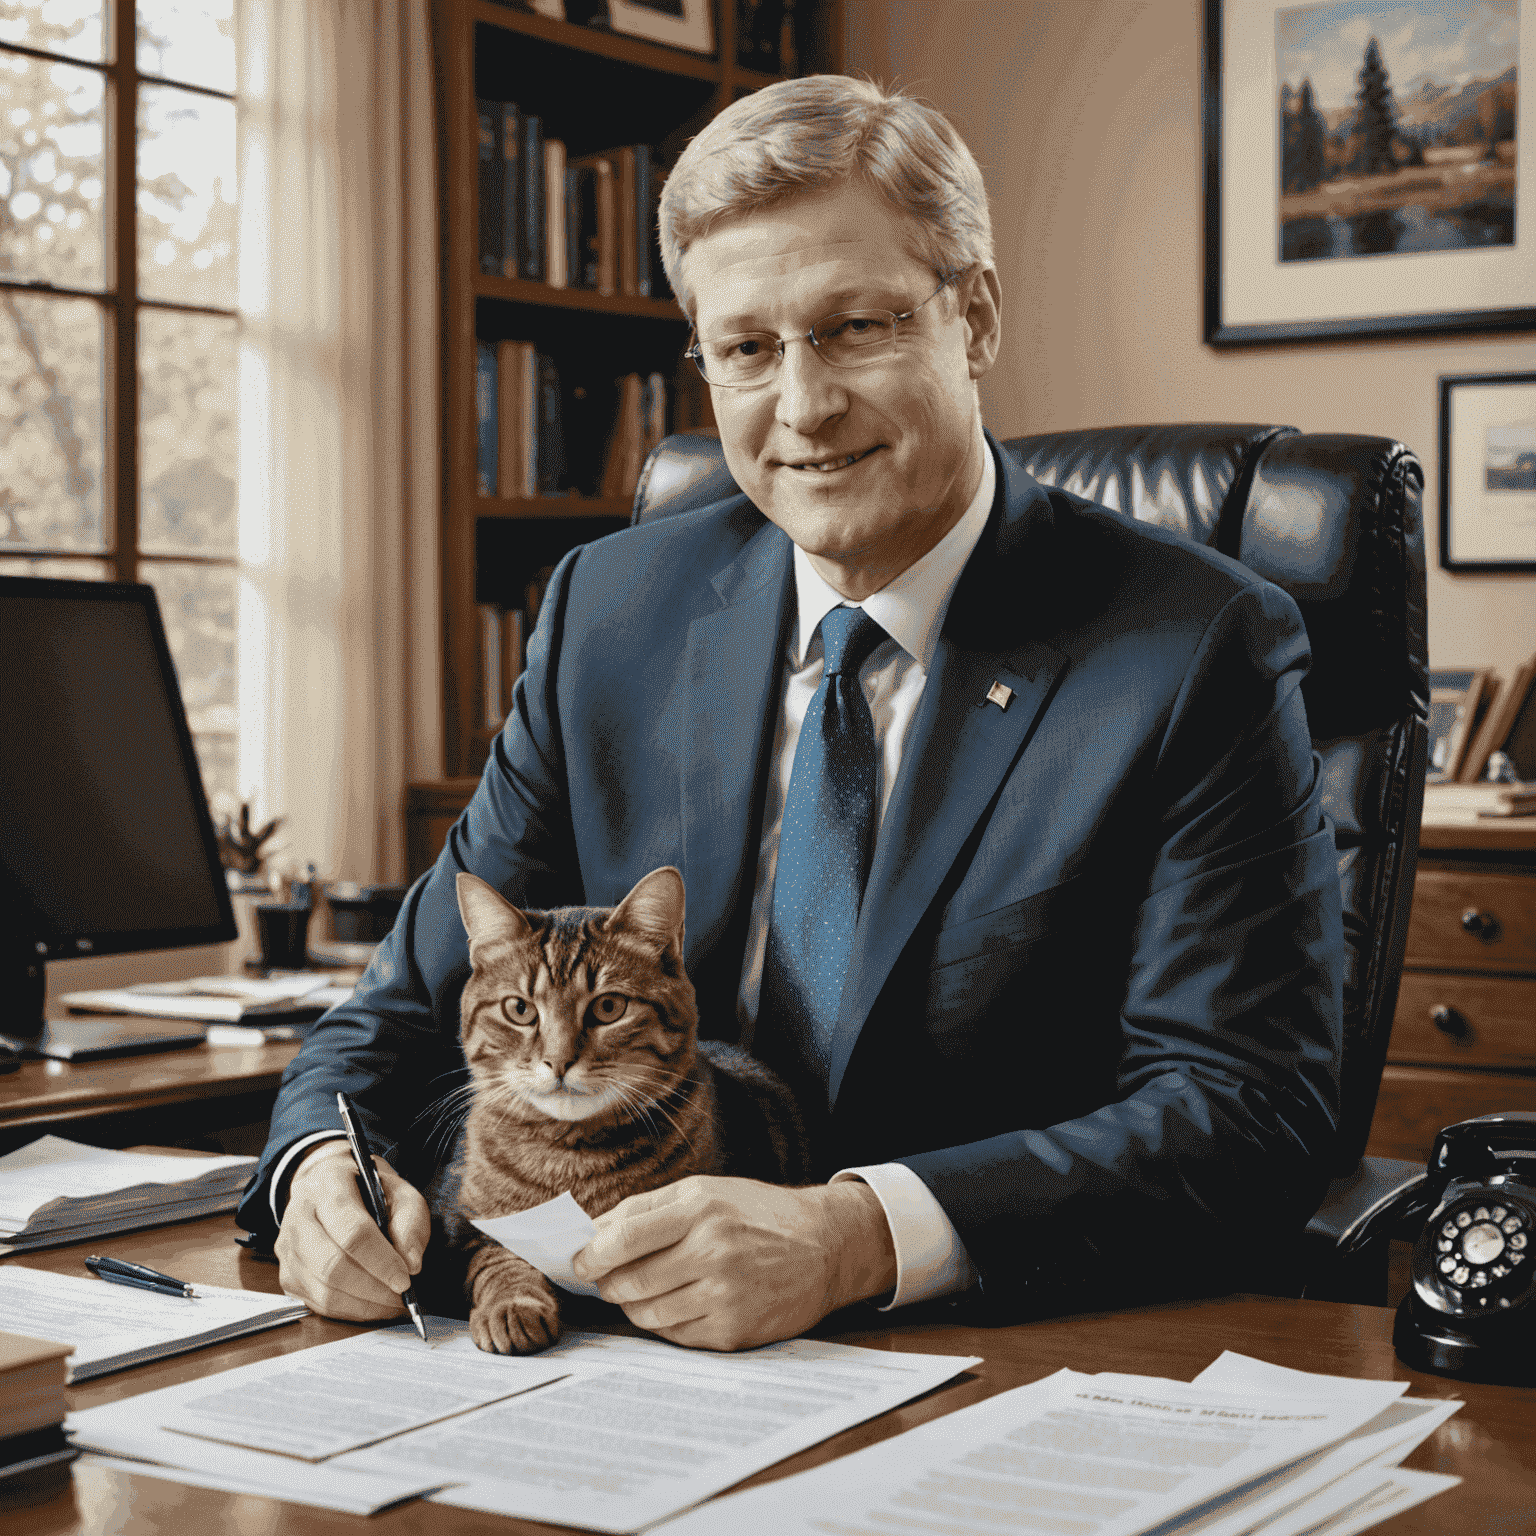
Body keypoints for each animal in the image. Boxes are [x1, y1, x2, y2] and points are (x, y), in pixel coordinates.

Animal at [436, 866, 817, 1357]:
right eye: (519, 1009)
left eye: (609, 1006)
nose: (558, 1060)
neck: (567, 1158)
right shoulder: (464, 1220)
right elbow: (498, 1258)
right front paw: (512, 1304)